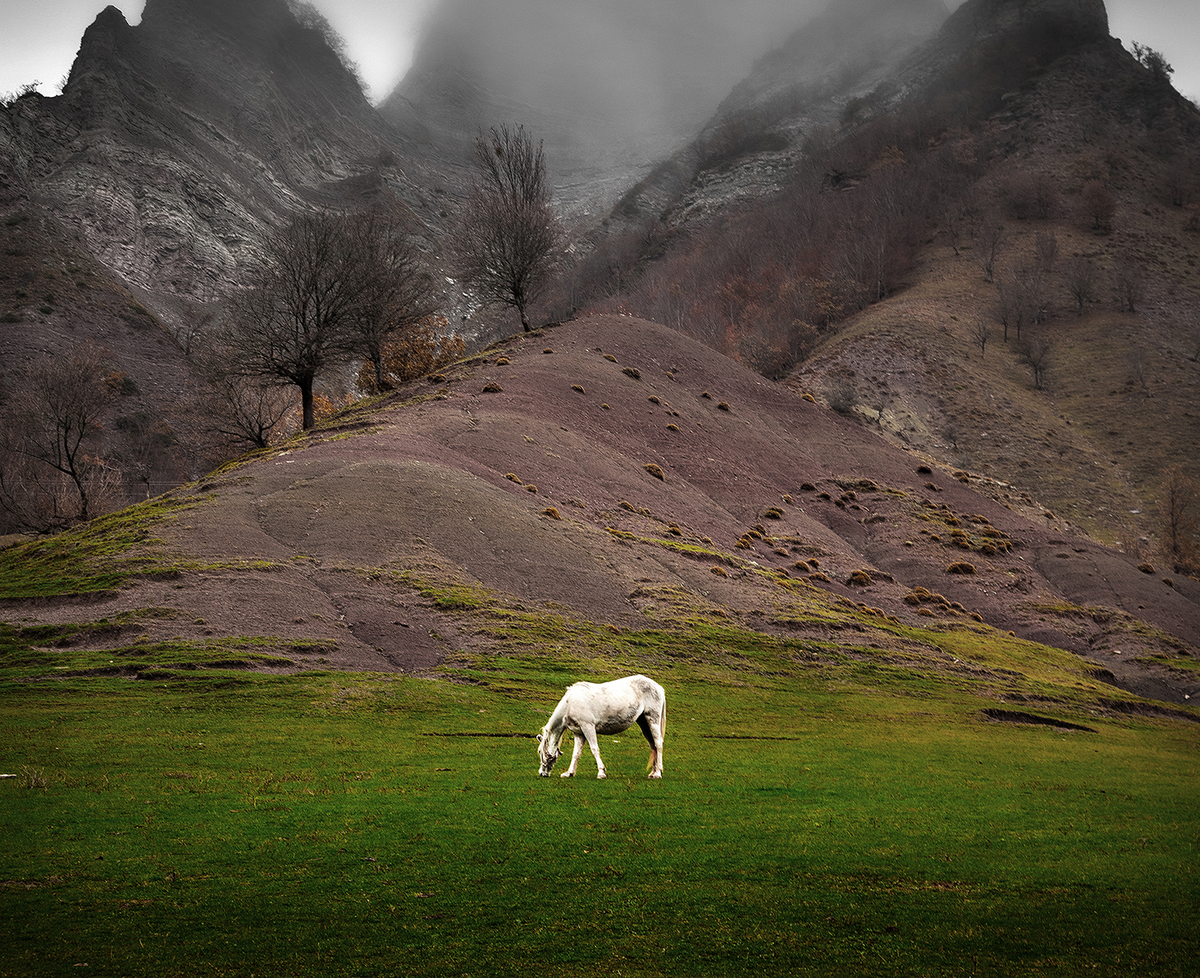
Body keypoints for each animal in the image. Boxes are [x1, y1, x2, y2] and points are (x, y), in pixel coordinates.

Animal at [537, 672, 667, 782]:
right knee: (653, 745)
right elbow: (576, 753)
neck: (570, 704)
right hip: (644, 723)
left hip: (653, 719)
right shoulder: (579, 732)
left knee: (658, 744)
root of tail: (658, 687)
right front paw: (569, 773)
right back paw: (653, 773)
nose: (542, 773)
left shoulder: (588, 727)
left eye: (539, 751)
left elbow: (595, 749)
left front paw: (601, 773)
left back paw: (658, 773)